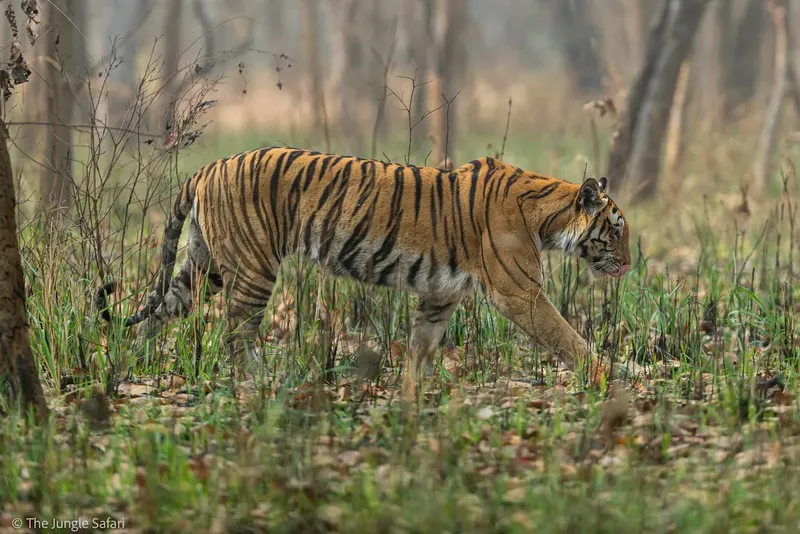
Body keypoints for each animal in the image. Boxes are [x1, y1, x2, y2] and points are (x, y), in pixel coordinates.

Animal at [97, 146, 631, 393]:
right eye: (616, 229)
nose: (628, 266)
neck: (548, 218)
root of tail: (208, 167)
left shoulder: (440, 295)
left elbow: (420, 346)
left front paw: (411, 394)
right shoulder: (519, 293)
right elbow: (567, 337)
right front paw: (611, 378)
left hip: (201, 268)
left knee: (156, 315)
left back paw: (133, 368)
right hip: (252, 269)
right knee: (235, 332)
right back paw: (259, 382)